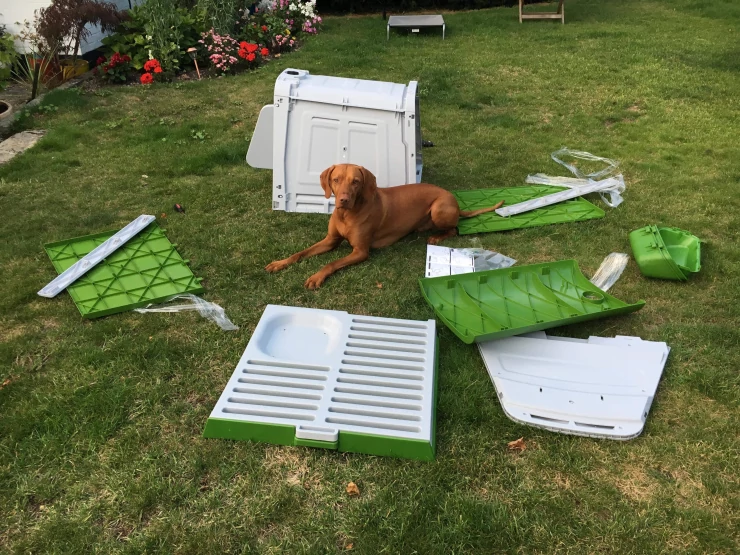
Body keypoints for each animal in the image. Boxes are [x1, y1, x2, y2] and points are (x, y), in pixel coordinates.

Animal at [265, 164, 503, 289]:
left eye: (356, 182)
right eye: (336, 179)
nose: (343, 199)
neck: (347, 214)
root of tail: (454, 200)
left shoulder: (360, 252)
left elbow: (331, 263)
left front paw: (316, 277)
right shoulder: (330, 240)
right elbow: (299, 253)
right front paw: (280, 263)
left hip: (439, 209)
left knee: (454, 228)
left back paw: (436, 236)